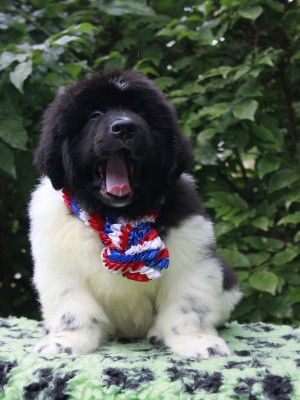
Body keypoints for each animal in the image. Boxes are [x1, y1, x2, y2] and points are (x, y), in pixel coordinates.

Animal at [29, 70, 241, 358]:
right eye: (95, 114)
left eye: (141, 112)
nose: (124, 127)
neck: (118, 216)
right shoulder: (60, 267)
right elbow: (72, 310)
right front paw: (66, 341)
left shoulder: (192, 260)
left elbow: (187, 306)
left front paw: (197, 341)